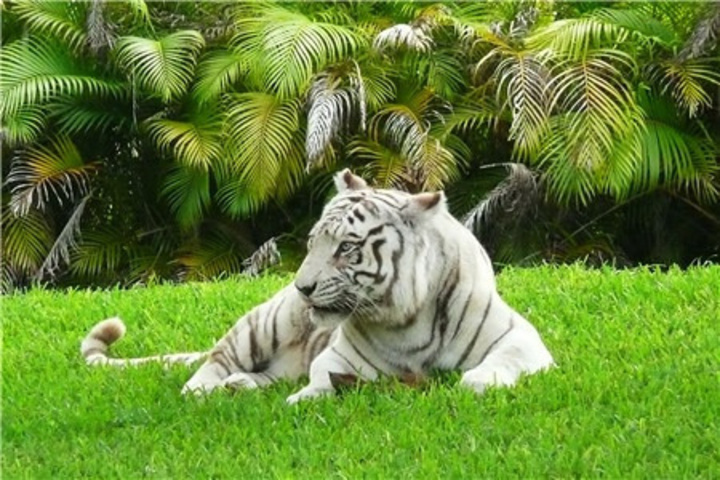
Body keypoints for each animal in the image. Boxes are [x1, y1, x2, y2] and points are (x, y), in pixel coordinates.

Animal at [84, 169, 556, 402]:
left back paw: (242, 387)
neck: (410, 317)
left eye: (346, 248)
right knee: (212, 364)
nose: (302, 288)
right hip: (261, 326)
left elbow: (502, 362)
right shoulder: (343, 358)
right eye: (313, 243)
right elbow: (323, 378)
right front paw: (306, 400)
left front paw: (478, 384)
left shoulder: (523, 339)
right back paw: (206, 391)